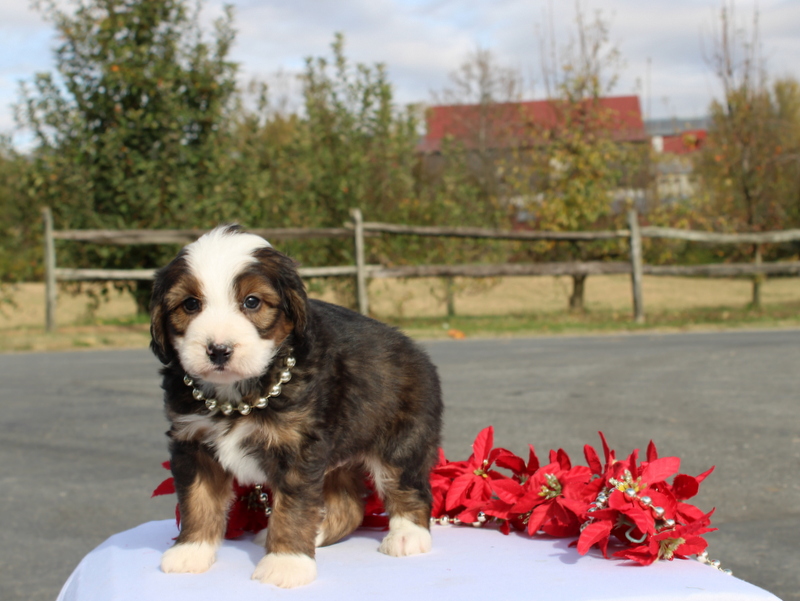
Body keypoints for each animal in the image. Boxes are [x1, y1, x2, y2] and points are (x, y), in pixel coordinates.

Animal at [150, 225, 444, 584]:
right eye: (190, 304)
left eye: (252, 302)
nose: (218, 350)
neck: (238, 394)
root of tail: (418, 353)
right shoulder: (193, 443)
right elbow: (198, 500)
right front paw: (191, 551)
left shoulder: (299, 448)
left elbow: (293, 508)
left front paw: (286, 562)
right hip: (339, 455)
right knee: (348, 507)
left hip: (401, 439)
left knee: (408, 487)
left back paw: (407, 536)